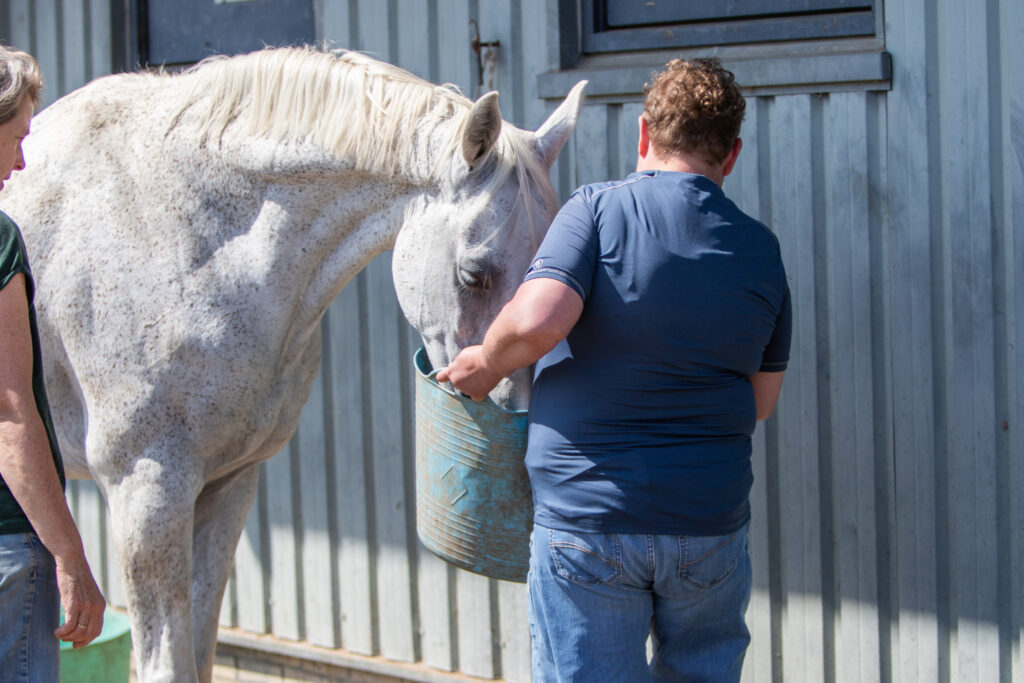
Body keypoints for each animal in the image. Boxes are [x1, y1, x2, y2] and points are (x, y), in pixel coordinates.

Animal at [0, 46, 585, 682]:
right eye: (473, 275)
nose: (516, 410)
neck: (184, 237)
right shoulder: (146, 492)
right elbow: (166, 662)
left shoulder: (227, 483)